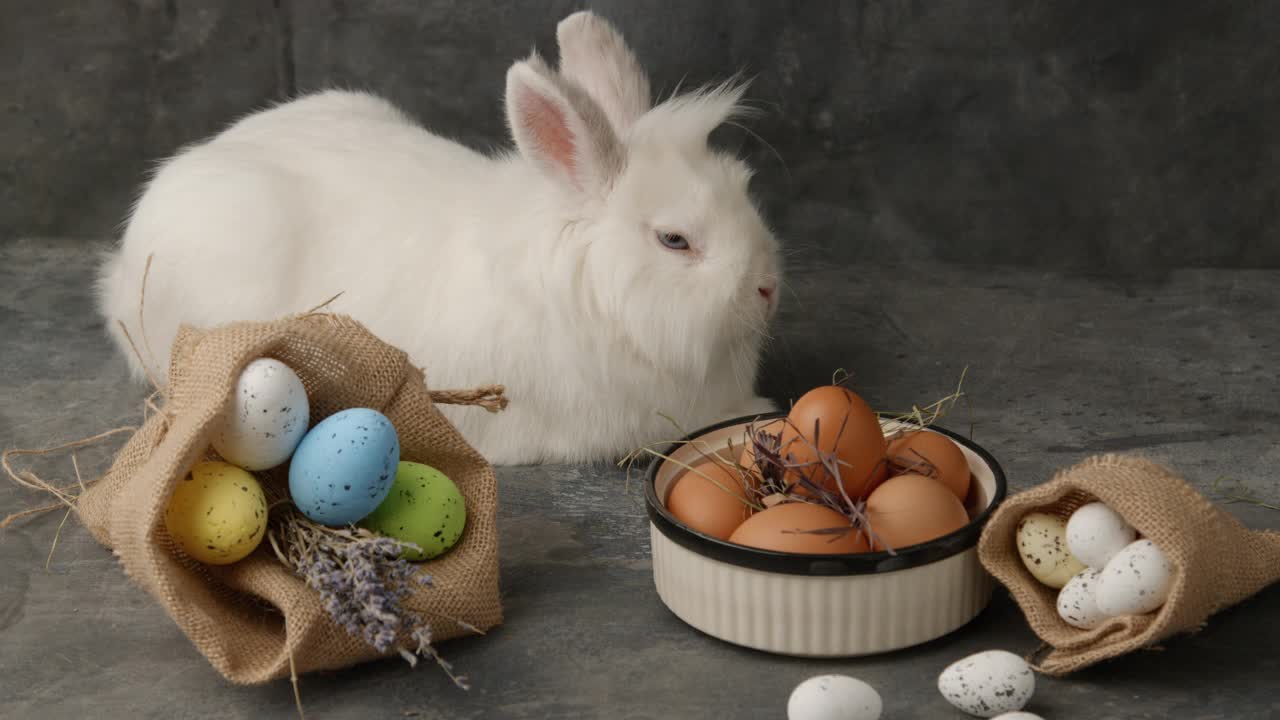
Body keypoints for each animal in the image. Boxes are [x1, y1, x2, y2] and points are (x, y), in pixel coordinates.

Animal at [94, 11, 778, 461]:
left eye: (744, 187)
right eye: (674, 240)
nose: (767, 288)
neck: (591, 295)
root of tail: (123, 267)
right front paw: (761, 411)